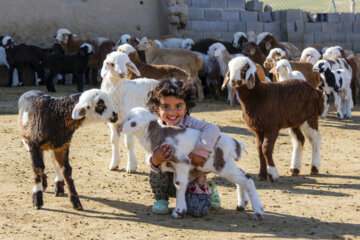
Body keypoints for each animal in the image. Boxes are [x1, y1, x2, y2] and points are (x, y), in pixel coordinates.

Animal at [119, 108, 262, 220]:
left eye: (132, 122)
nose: (119, 127)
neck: (161, 136)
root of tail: (235, 143)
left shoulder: (182, 163)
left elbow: (179, 184)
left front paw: (179, 212)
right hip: (226, 165)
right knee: (241, 177)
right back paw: (242, 205)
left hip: (222, 164)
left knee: (247, 179)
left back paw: (258, 212)